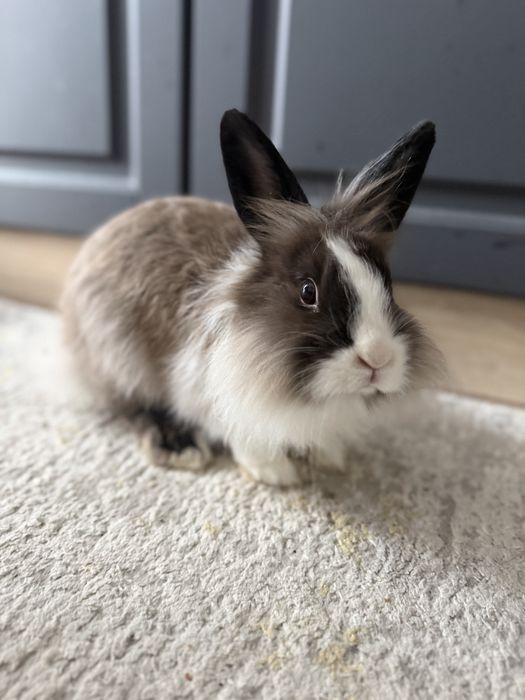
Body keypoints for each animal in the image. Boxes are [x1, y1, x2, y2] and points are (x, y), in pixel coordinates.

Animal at [61, 108, 441, 487]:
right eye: (308, 292)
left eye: (387, 284)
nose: (378, 358)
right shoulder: (206, 383)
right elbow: (242, 433)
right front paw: (275, 472)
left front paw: (326, 457)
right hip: (120, 355)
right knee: (133, 404)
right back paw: (181, 448)